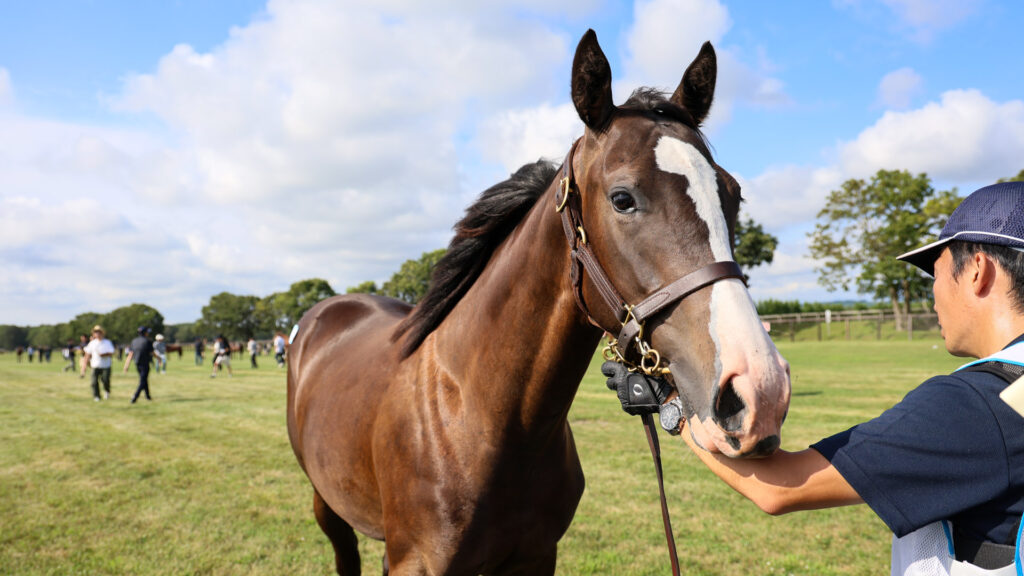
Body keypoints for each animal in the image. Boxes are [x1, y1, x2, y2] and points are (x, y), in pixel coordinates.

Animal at [287, 29, 791, 575]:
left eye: (733, 194)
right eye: (622, 198)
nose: (760, 392)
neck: (482, 419)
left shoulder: (535, 556)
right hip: (326, 505)